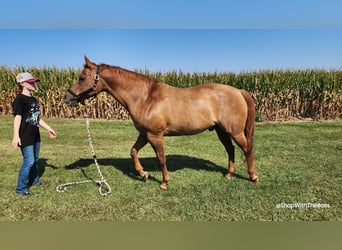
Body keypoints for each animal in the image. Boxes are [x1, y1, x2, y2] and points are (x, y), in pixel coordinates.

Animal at [64, 56, 258, 189]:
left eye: (82, 78)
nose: (67, 98)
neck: (145, 97)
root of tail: (238, 91)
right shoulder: (144, 134)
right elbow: (133, 152)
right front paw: (143, 174)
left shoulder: (155, 136)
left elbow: (161, 159)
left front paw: (164, 182)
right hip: (221, 131)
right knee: (231, 149)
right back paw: (228, 174)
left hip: (234, 131)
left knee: (247, 148)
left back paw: (253, 176)